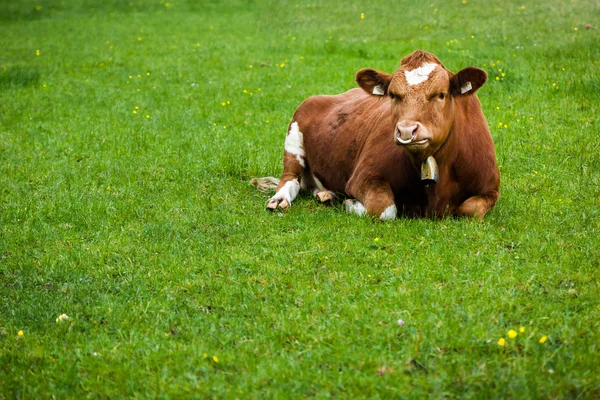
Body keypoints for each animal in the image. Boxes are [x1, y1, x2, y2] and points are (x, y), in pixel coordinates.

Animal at [254, 49, 502, 222]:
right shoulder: (363, 176)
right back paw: (280, 200)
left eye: (440, 95)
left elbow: (469, 210)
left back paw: (327, 195)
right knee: (290, 179)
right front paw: (350, 203)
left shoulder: (490, 188)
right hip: (294, 139)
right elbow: (385, 209)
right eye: (393, 94)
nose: (406, 130)